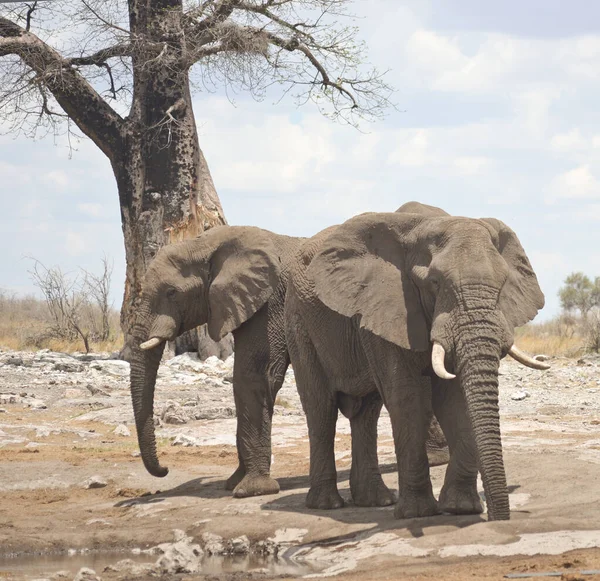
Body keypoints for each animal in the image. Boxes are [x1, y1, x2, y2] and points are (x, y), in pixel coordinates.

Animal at [130, 222, 450, 498]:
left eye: (171, 292)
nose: (164, 470)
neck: (209, 243)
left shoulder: (270, 301)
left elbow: (254, 377)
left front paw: (251, 490)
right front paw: (234, 483)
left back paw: (436, 459)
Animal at [284, 202, 552, 520]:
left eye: (502, 285)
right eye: (434, 283)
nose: (498, 518)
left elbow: (455, 399)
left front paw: (460, 508)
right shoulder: (388, 304)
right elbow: (408, 397)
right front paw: (418, 513)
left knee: (367, 412)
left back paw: (376, 501)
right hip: (299, 321)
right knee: (321, 408)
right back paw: (327, 505)